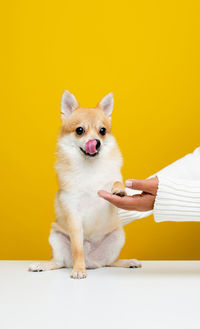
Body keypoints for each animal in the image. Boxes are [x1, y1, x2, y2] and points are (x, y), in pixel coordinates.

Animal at [28, 91, 141, 278]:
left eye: (103, 131)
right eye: (79, 130)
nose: (96, 142)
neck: (90, 167)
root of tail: (91, 262)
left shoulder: (110, 188)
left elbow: (116, 180)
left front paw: (119, 189)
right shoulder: (73, 214)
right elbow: (77, 248)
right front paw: (78, 270)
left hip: (118, 236)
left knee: (110, 262)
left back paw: (128, 262)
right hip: (56, 236)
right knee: (59, 262)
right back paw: (43, 265)